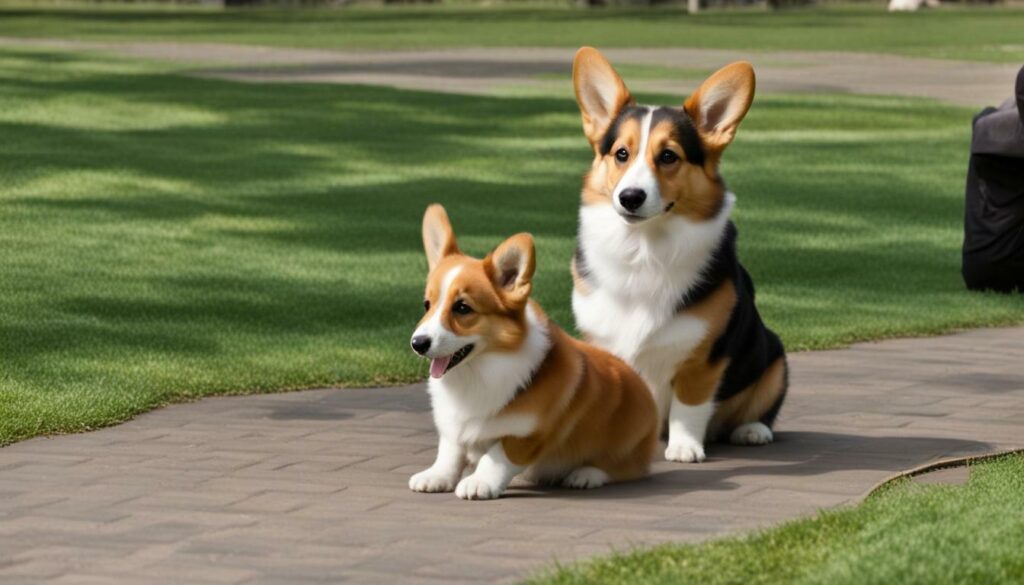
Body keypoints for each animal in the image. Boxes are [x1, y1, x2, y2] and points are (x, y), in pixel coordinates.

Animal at [407, 204, 655, 499]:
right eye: (427, 305)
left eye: (463, 308)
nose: (417, 343)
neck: (478, 371)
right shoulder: (452, 427)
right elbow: (450, 450)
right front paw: (437, 476)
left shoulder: (527, 434)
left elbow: (498, 454)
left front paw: (480, 482)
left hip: (626, 440)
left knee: (623, 467)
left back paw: (585, 475)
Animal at [573, 48, 786, 465]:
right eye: (621, 154)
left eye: (669, 156)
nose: (630, 197)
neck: (644, 250)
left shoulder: (703, 357)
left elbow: (690, 404)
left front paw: (685, 447)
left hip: (774, 358)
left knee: (759, 410)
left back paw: (752, 431)